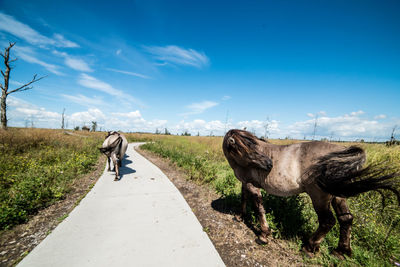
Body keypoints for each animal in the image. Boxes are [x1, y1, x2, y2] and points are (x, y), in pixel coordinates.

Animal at [222, 130, 400, 260]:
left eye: (254, 145)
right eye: (246, 148)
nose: (269, 164)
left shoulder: (252, 186)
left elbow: (259, 209)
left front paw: (264, 235)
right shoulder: (245, 183)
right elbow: (243, 199)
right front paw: (239, 216)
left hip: (319, 196)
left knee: (328, 221)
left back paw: (309, 247)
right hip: (337, 195)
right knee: (346, 219)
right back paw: (341, 252)